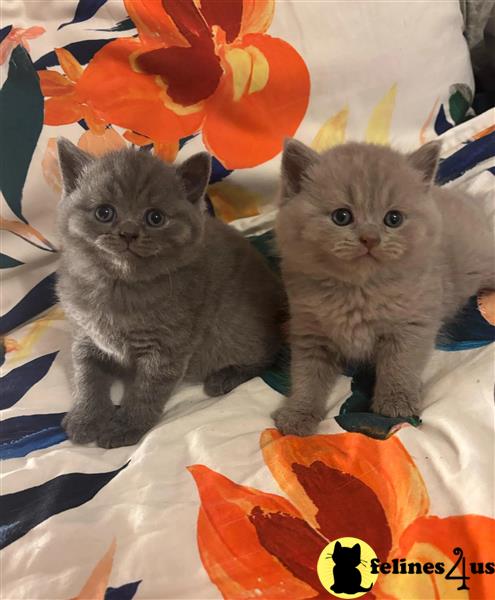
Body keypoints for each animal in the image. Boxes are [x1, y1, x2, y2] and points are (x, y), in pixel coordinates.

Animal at [56, 141, 282, 448]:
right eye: (104, 212)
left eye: (155, 217)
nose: (128, 232)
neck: (120, 287)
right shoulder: (86, 335)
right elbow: (87, 376)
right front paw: (86, 417)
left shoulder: (168, 347)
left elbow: (147, 389)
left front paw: (125, 427)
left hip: (232, 329)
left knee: (267, 354)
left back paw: (224, 377)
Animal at [274, 138, 494, 434]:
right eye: (342, 216)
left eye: (393, 219)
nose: (370, 238)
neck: (357, 291)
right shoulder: (309, 332)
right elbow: (306, 376)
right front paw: (298, 414)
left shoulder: (411, 324)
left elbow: (400, 365)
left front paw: (396, 403)